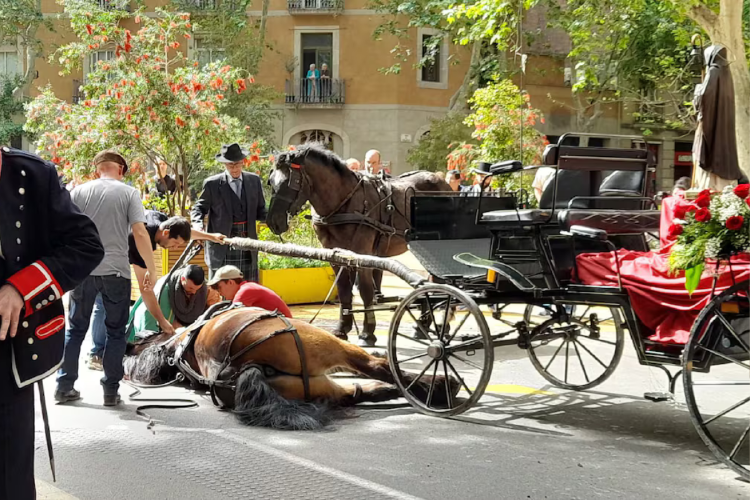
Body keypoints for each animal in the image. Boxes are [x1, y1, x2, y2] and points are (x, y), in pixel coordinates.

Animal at [124, 306, 458, 430]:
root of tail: (241, 369)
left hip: (316, 385)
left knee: (358, 391)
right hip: (325, 345)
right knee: (376, 367)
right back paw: (440, 387)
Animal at [266, 144, 452, 346]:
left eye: (290, 183)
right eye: (271, 182)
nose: (273, 222)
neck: (343, 203)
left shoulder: (363, 254)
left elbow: (365, 291)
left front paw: (367, 333)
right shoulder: (335, 255)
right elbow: (344, 290)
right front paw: (342, 328)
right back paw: (424, 326)